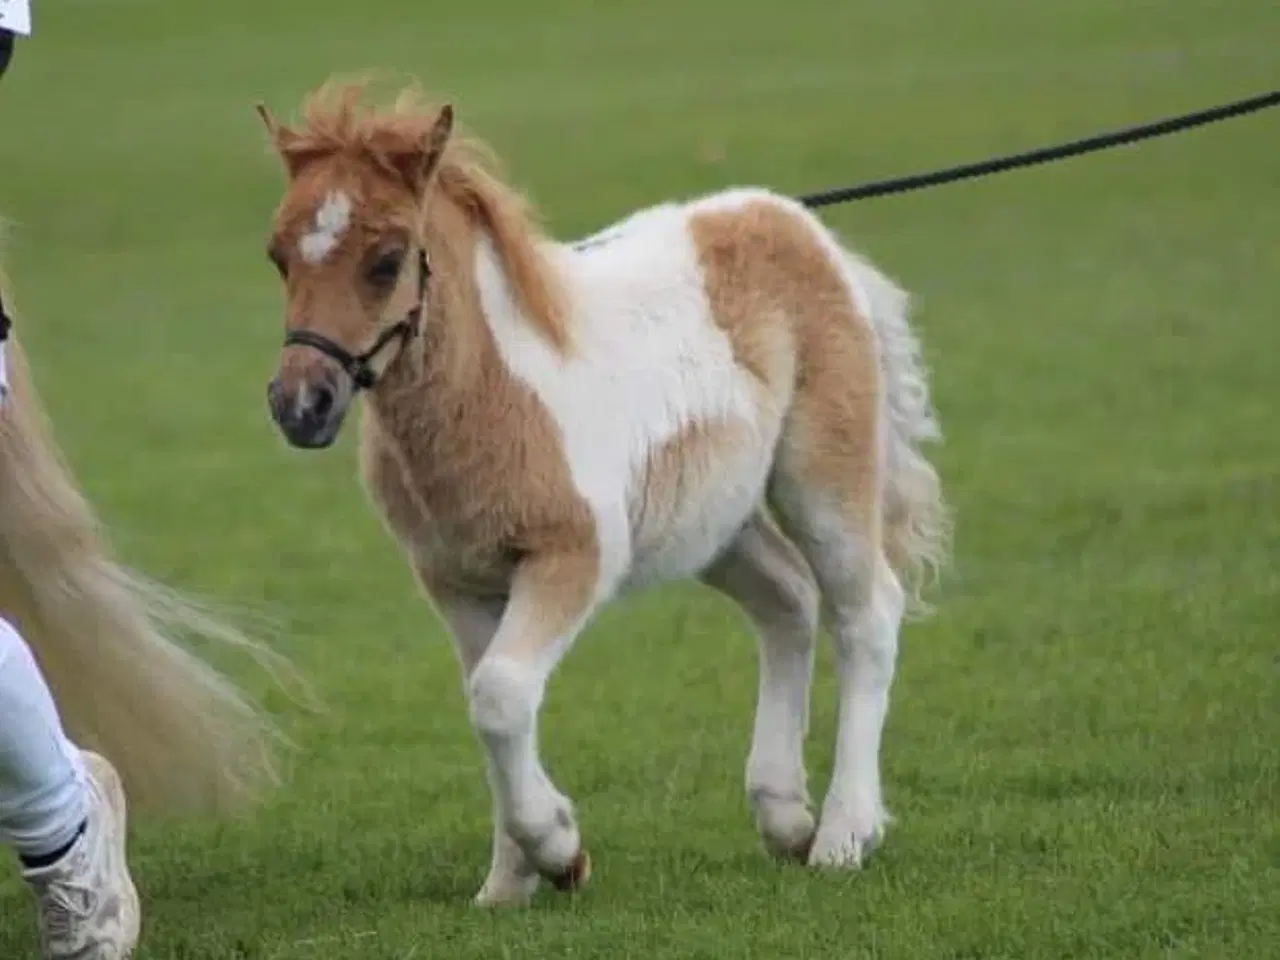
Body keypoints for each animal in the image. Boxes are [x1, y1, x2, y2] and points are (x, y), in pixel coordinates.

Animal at [254, 82, 952, 911]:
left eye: (386, 260)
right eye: (277, 256)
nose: (302, 404)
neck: (495, 395)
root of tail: (799, 226)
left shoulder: (574, 555)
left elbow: (499, 695)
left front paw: (558, 850)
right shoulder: (456, 581)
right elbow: (491, 705)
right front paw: (512, 879)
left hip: (821, 480)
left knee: (865, 612)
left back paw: (845, 833)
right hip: (714, 521)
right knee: (788, 600)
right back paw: (785, 816)